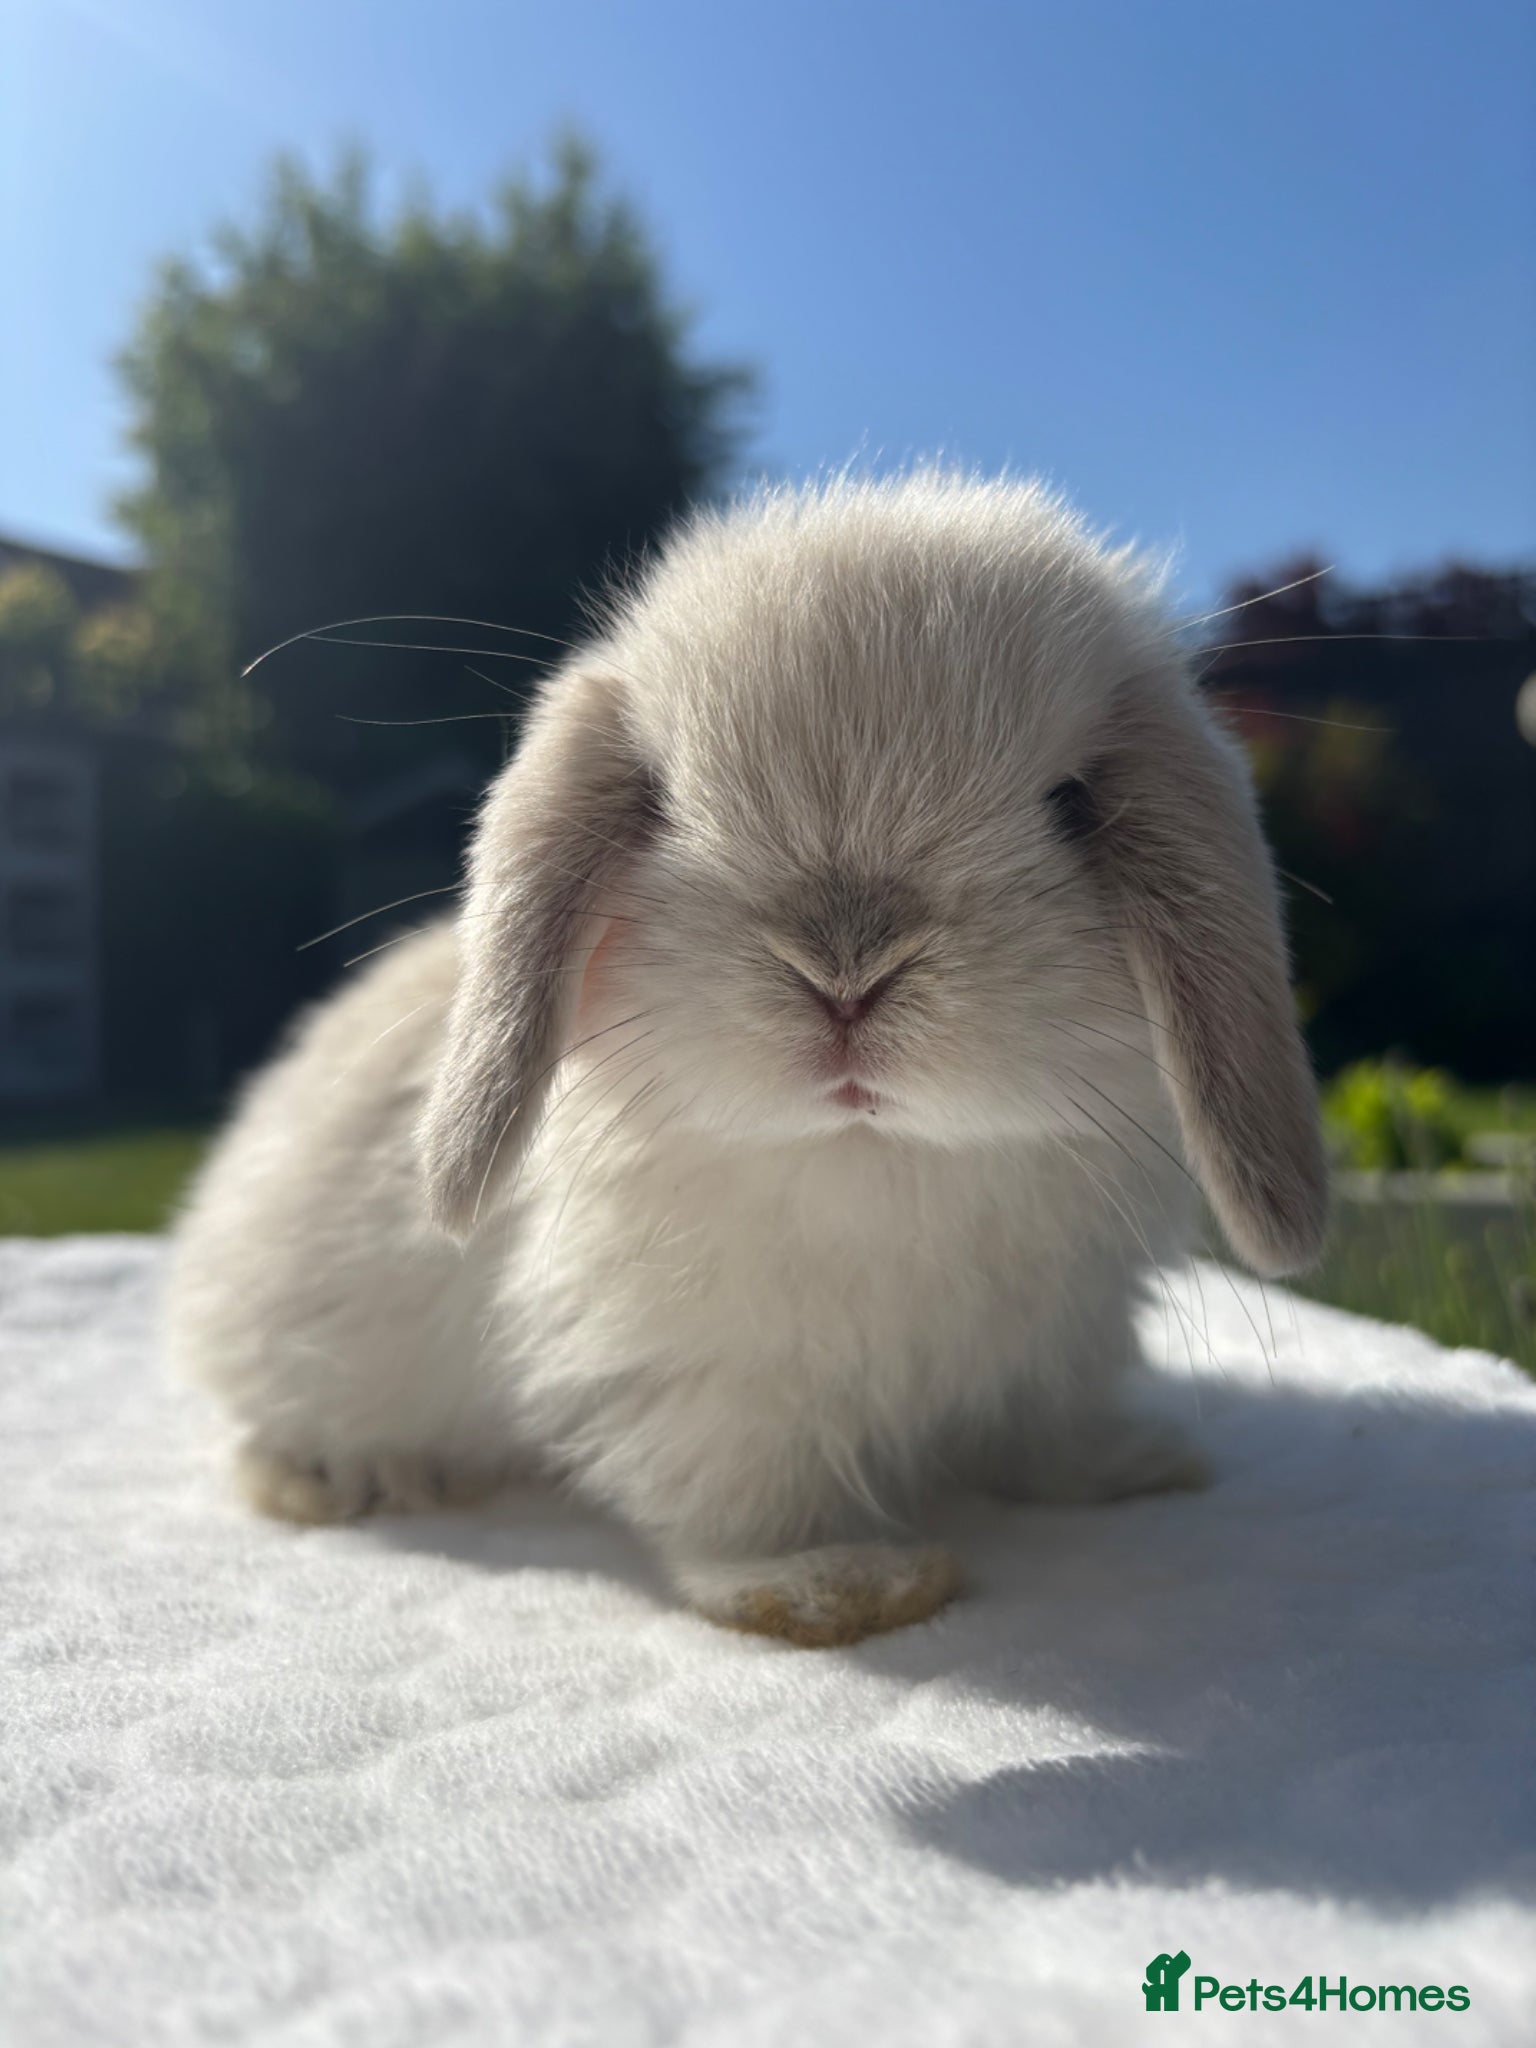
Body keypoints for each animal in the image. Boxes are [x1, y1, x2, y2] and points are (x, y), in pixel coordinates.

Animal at [165, 471, 1327, 1647]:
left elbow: (1044, 1434)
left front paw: (1134, 1466)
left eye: (1071, 803)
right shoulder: (707, 1379)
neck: (878, 1156)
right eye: (659, 802)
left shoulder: (1060, 1343)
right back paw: (352, 1478)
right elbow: (737, 1503)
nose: (845, 970)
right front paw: (839, 1585)